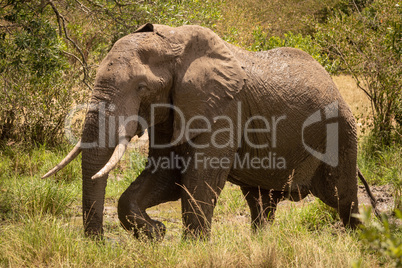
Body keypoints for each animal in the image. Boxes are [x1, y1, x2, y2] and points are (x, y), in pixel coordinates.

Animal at [43, 24, 376, 240]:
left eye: (142, 88)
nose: (97, 242)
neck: (174, 42)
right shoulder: (173, 110)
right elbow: (166, 177)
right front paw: (157, 232)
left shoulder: (223, 109)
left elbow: (199, 180)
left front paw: (191, 247)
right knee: (261, 203)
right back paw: (261, 243)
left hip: (341, 135)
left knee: (343, 199)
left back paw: (358, 242)